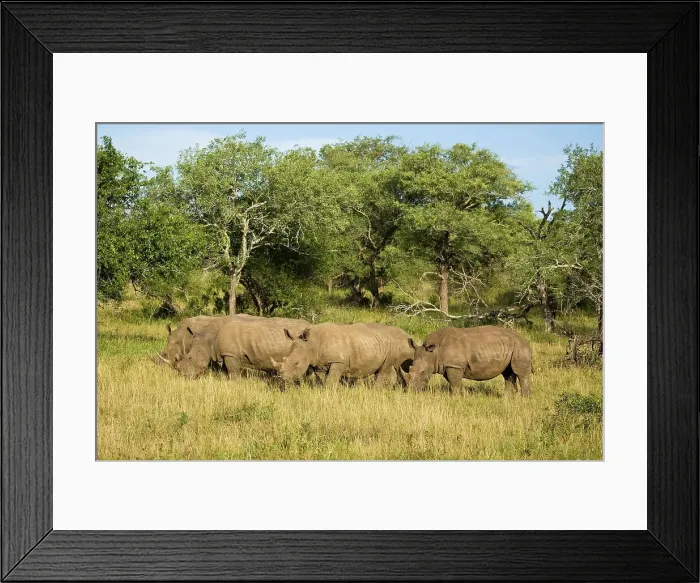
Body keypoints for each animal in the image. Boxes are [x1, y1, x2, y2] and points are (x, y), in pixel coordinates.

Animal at [175, 317, 310, 379]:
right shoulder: (226, 353)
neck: (209, 338)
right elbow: (225, 371)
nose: (184, 375)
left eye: (190, 358)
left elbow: (233, 372)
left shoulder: (231, 354)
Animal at [272, 322, 416, 387]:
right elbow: (321, 380)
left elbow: (330, 380)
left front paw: (329, 393)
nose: (282, 378)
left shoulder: (338, 361)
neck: (311, 343)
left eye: (296, 363)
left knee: (386, 370)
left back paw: (377, 390)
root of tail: (407, 335)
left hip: (396, 346)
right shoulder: (319, 363)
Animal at [402, 325, 534, 396]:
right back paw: (508, 399)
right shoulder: (449, 366)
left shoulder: (454, 365)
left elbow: (454, 383)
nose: (411, 391)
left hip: (519, 347)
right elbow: (454, 382)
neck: (434, 353)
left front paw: (455, 398)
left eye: (423, 372)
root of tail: (525, 340)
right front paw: (463, 394)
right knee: (508, 373)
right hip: (510, 347)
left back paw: (524, 399)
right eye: (410, 368)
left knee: (520, 373)